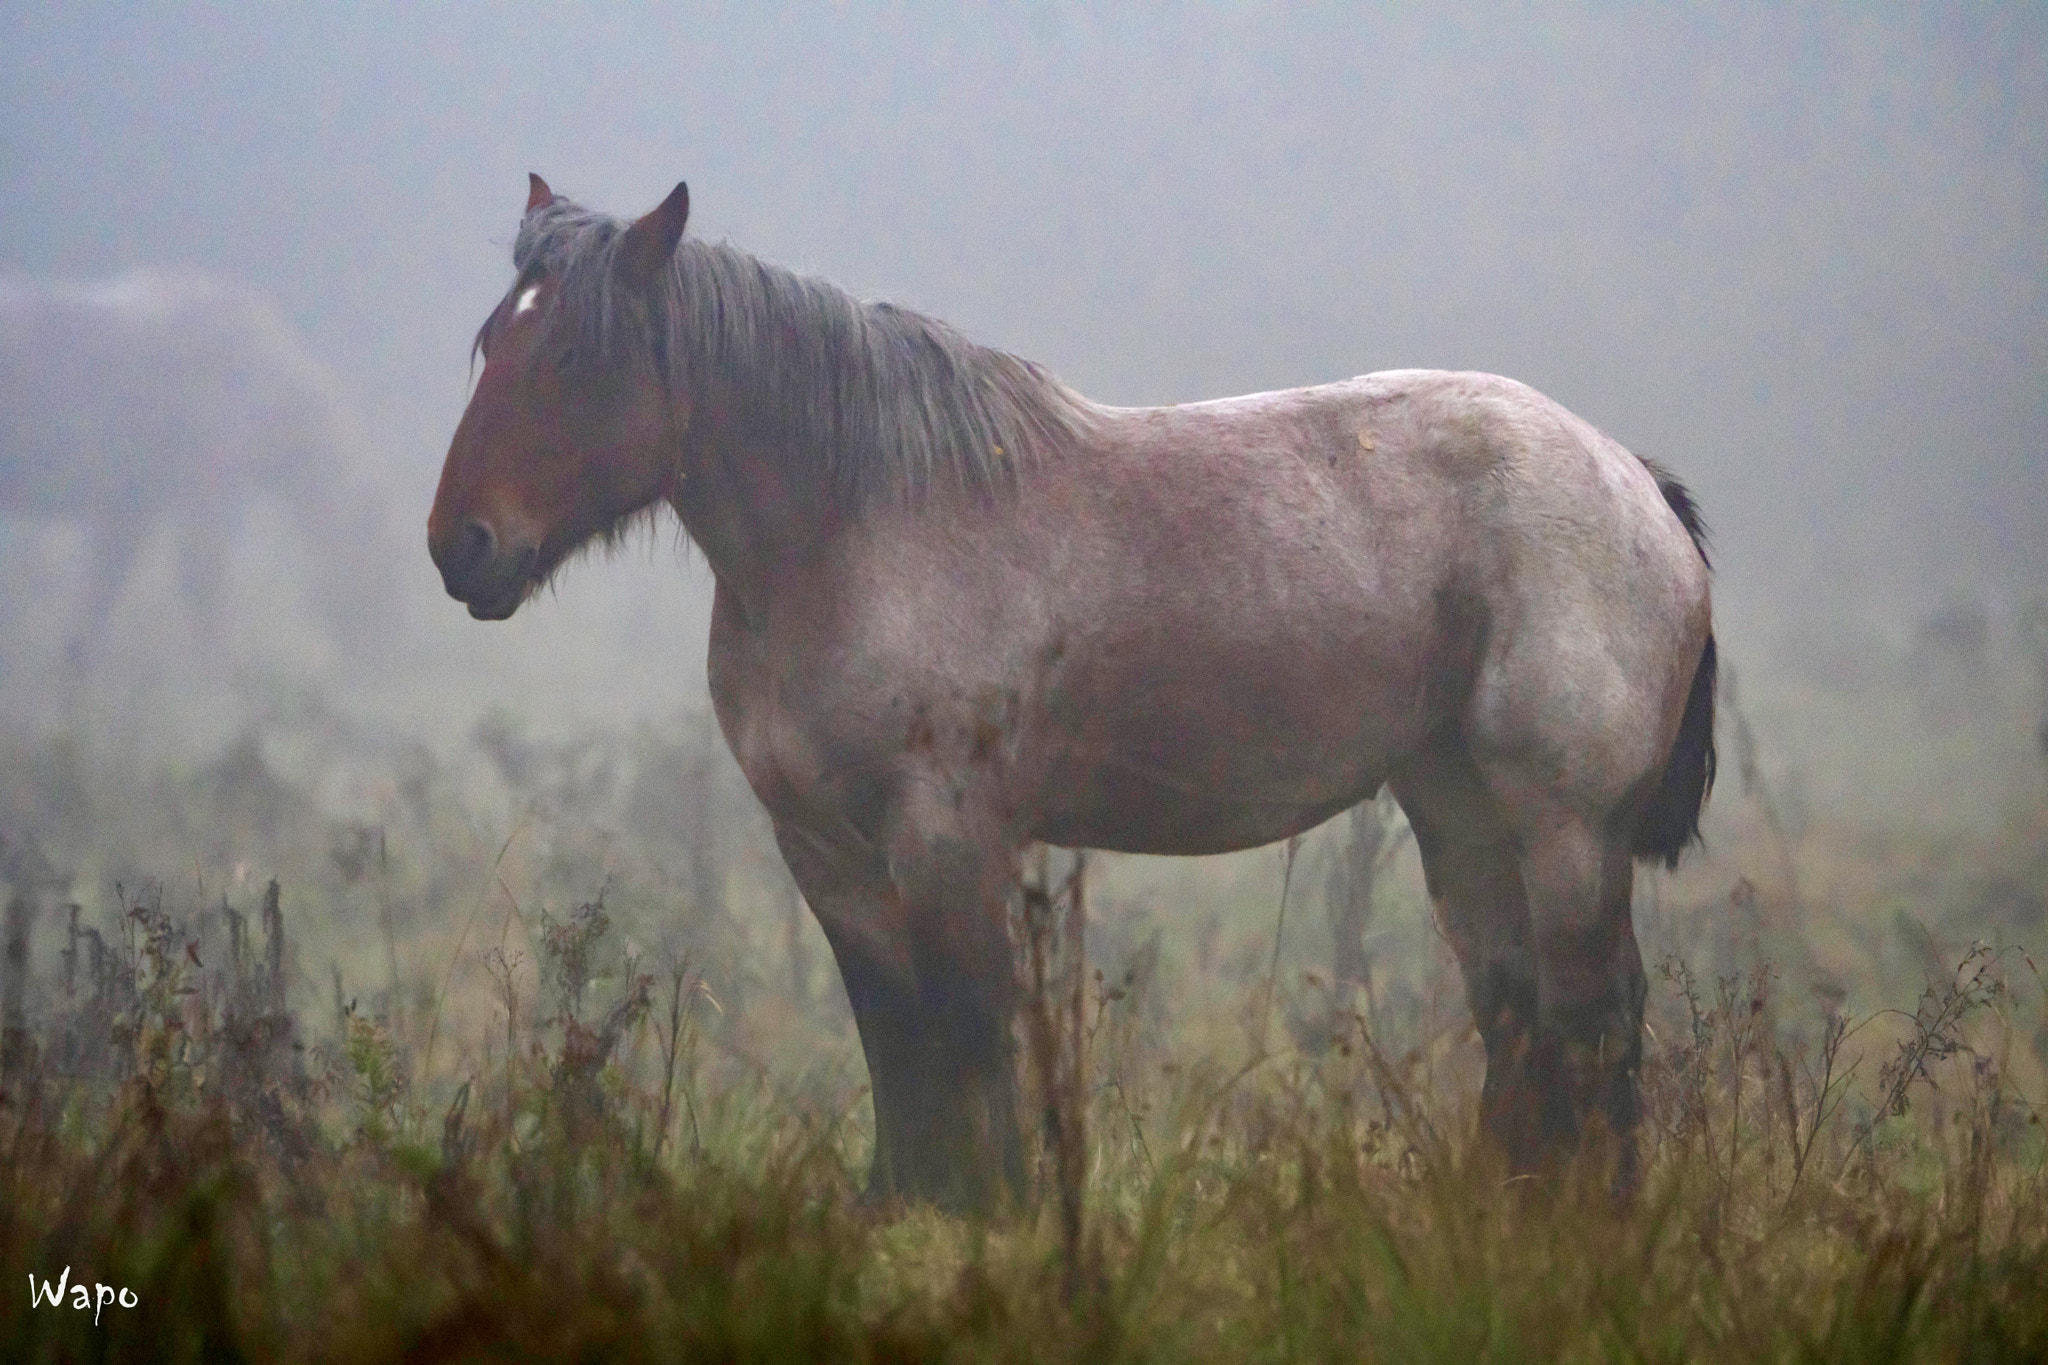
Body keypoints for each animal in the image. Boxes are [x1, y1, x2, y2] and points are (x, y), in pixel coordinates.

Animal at [428, 175, 1712, 1211]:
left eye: (576, 358)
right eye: (490, 342)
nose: (461, 547)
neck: (856, 526)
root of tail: (1628, 479)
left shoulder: (947, 838)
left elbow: (965, 1030)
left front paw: (995, 1214)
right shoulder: (825, 853)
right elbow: (894, 1039)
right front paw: (905, 1211)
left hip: (1563, 828)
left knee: (1592, 1017)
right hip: (1458, 812)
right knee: (1519, 1014)